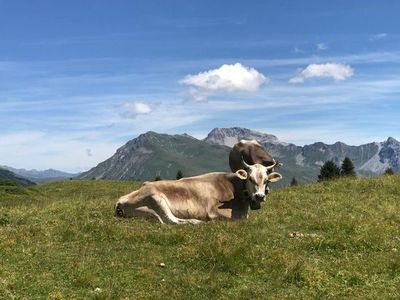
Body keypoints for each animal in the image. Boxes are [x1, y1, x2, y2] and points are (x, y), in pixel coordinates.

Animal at [114, 162, 282, 223]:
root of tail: (120, 200)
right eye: (250, 179)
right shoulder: (216, 213)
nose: (259, 196)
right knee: (172, 221)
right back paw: (197, 222)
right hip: (156, 199)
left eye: (266, 180)